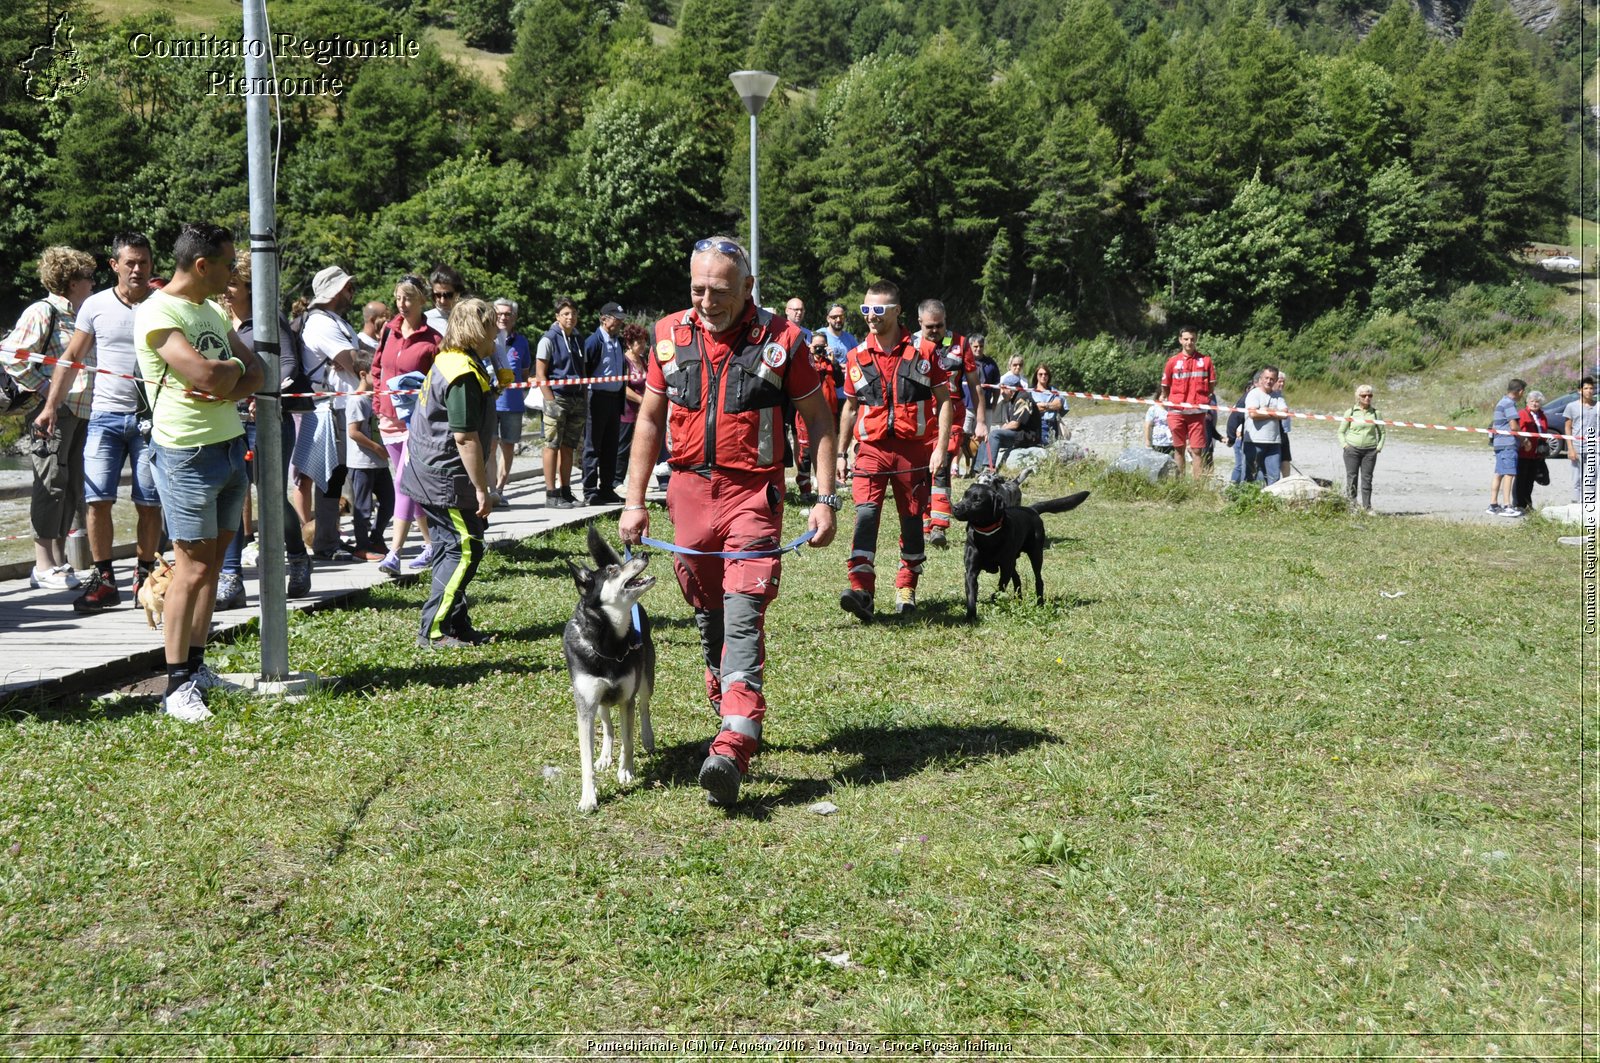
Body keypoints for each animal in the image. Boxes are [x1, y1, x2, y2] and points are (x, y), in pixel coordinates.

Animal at [566, 525, 659, 813]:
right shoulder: (586, 705)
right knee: (607, 726)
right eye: (611, 571)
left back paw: (647, 739)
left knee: (644, 708)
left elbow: (628, 742)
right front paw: (588, 797)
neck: (609, 646)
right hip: (600, 702)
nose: (642, 552)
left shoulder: (626, 697)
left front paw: (626, 771)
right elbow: (586, 759)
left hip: (645, 679)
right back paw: (606, 756)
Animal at [947, 473, 1088, 624]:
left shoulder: (1005, 567)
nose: (955, 507)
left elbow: (1000, 586)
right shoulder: (971, 571)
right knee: (1018, 578)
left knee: (1038, 579)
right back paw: (1018, 600)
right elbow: (971, 594)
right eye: (965, 495)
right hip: (1013, 560)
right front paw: (971, 615)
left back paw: (1040, 603)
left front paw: (994, 597)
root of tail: (1031, 509)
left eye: (977, 500)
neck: (987, 534)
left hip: (1035, 555)